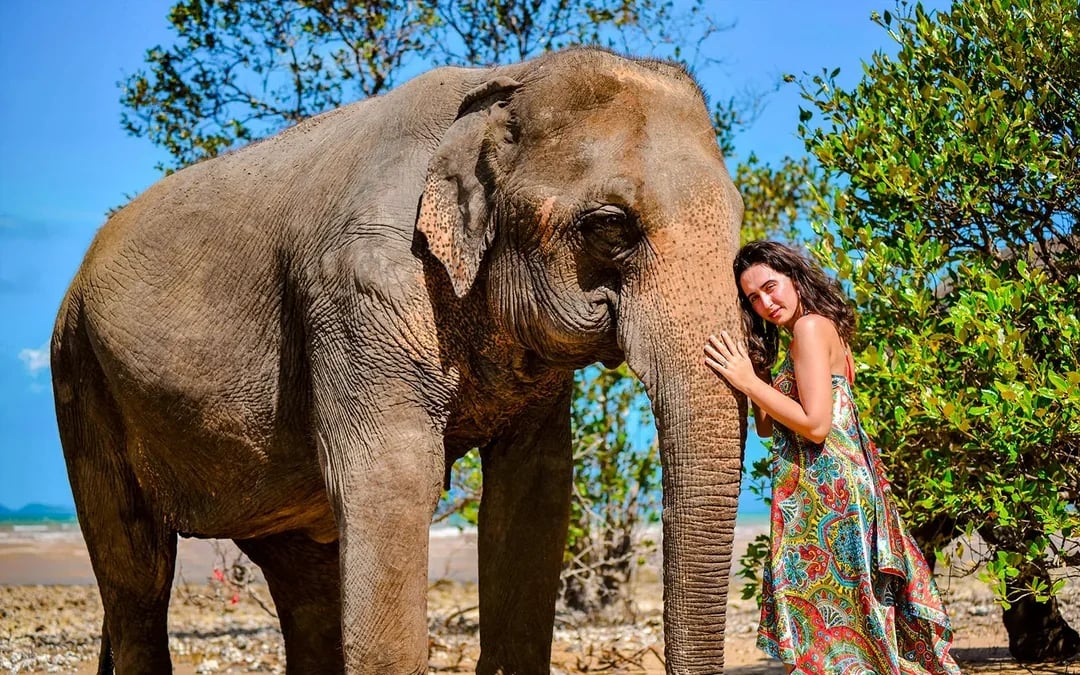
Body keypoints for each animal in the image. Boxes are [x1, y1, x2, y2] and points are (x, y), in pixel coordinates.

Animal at [50, 46, 747, 673]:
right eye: (610, 226)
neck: (503, 81)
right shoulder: (360, 293)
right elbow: (394, 478)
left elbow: (535, 492)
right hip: (80, 376)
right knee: (137, 573)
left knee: (303, 586)